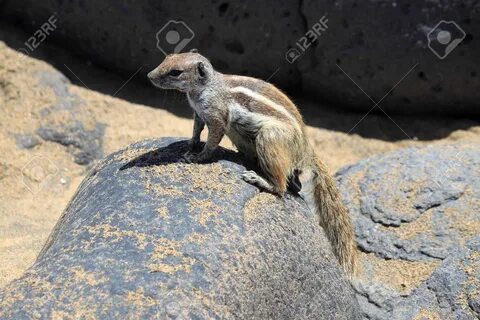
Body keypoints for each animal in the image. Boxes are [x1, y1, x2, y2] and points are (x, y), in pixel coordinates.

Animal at [148, 51, 358, 278]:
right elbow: (196, 129)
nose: (149, 75)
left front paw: (198, 157)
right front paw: (191, 143)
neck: (205, 88)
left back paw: (259, 179)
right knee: (295, 184)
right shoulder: (198, 113)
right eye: (167, 58)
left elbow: (213, 139)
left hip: (269, 138)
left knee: (281, 186)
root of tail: (306, 151)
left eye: (175, 72)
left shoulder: (216, 115)